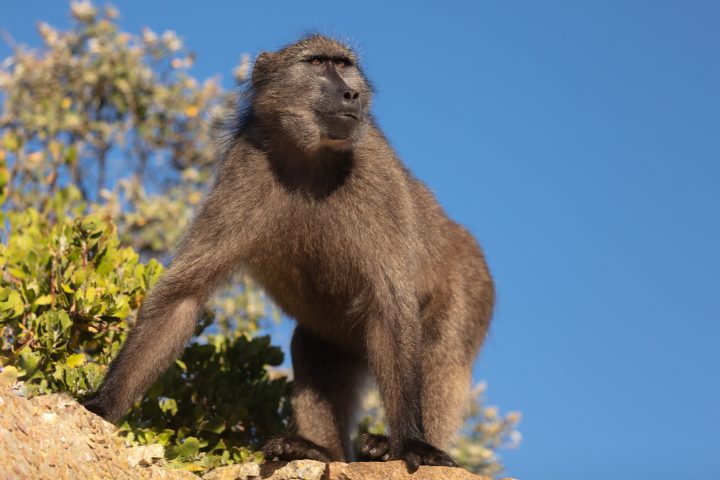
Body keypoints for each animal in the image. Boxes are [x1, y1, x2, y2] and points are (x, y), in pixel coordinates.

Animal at [83, 34, 494, 472]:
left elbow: (391, 307)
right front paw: (102, 404)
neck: (309, 158)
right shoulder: (244, 171)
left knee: (442, 353)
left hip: (470, 284)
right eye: (317, 63)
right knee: (311, 350)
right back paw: (321, 452)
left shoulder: (374, 171)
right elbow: (183, 295)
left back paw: (393, 445)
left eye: (344, 65)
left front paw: (413, 443)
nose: (351, 94)